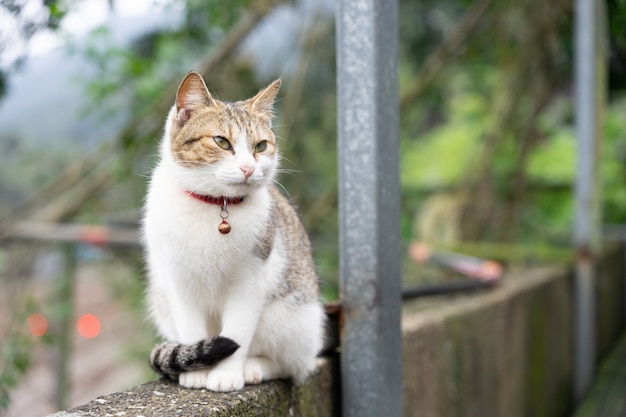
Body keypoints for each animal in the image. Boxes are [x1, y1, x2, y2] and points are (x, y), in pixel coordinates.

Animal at [142, 70, 324, 392]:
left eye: (260, 146)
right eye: (221, 141)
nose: (248, 168)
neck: (216, 206)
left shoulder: (249, 283)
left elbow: (237, 332)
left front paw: (226, 374)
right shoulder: (179, 282)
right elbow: (191, 329)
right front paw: (197, 371)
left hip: (294, 319)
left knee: (291, 365)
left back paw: (254, 368)